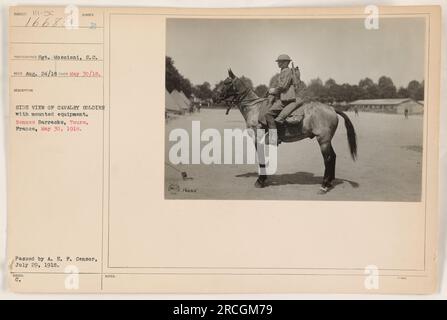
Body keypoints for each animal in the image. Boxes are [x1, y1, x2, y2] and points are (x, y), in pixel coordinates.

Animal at [215, 69, 358, 194]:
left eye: (226, 82)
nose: (215, 97)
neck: (254, 108)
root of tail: (332, 108)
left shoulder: (257, 138)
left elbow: (261, 159)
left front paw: (260, 180)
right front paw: (263, 179)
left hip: (323, 140)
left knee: (328, 159)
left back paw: (324, 186)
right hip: (327, 140)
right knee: (333, 156)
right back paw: (329, 182)